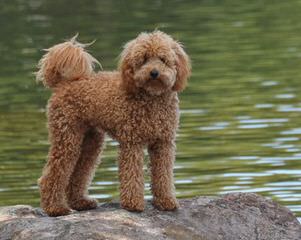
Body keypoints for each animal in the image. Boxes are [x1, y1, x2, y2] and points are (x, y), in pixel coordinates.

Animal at [35, 31, 190, 217]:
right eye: (144, 59)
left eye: (162, 59)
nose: (154, 72)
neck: (151, 97)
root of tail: (63, 83)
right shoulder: (132, 143)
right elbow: (131, 174)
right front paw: (133, 204)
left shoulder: (163, 143)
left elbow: (164, 175)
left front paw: (166, 202)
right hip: (67, 137)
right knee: (52, 175)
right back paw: (56, 208)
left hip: (90, 141)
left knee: (79, 172)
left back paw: (81, 202)